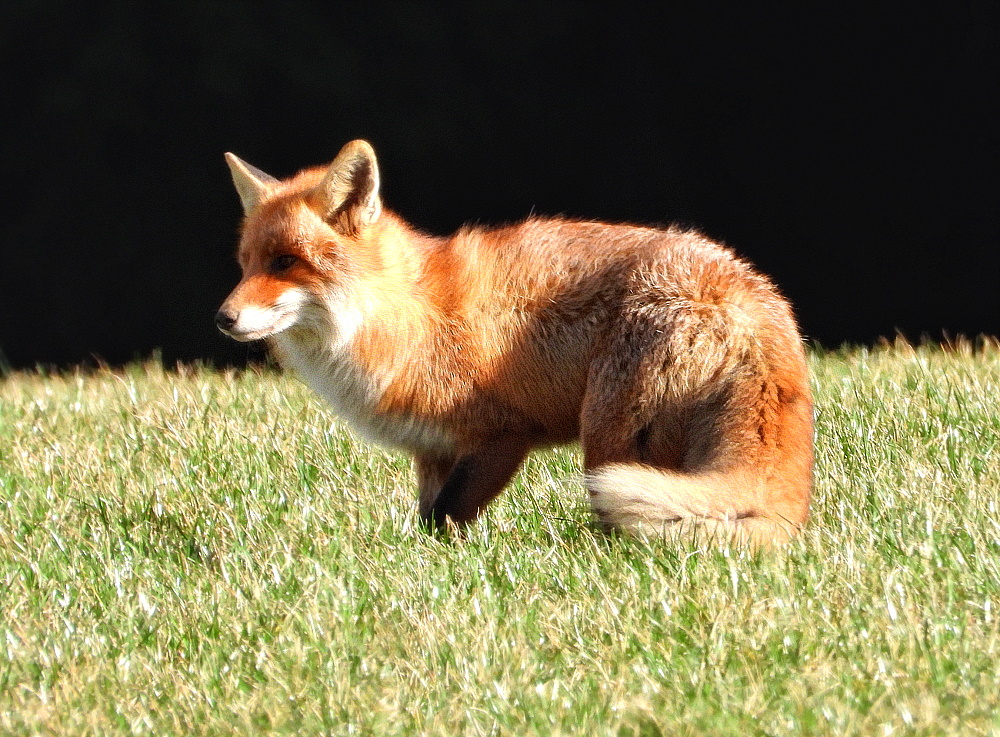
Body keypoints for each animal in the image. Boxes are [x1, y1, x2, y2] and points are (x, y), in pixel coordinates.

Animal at [217, 142, 812, 548]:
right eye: (245, 265)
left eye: (285, 263)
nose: (223, 319)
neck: (407, 319)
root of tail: (750, 293)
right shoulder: (433, 450)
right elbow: (429, 519)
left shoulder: (502, 435)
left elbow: (445, 518)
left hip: (609, 445)